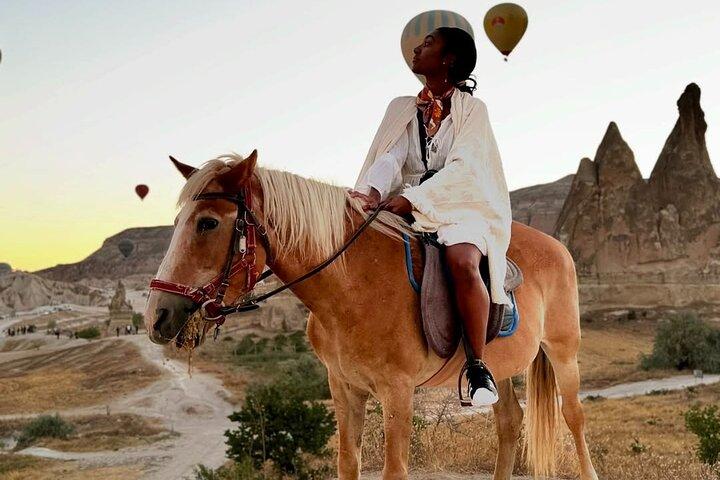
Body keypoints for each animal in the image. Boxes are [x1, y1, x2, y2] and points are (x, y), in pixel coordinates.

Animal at [144, 151, 599, 480]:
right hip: (496, 367)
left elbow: (394, 470)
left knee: (574, 417)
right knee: (509, 421)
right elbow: (349, 463)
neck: (351, 290)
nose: (157, 315)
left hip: (563, 351)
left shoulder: (397, 392)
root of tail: (557, 247)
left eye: (207, 223)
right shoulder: (344, 388)